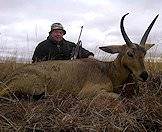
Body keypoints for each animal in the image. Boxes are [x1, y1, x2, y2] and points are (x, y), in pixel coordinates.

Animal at [0, 13, 159, 99]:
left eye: (144, 53)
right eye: (130, 53)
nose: (144, 75)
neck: (107, 71)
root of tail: (9, 78)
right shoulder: (89, 93)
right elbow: (119, 96)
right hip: (35, 88)